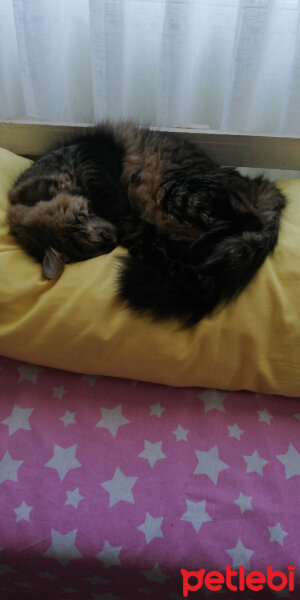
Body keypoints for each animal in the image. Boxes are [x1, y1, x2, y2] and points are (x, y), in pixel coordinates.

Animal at [8, 122, 286, 326]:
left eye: (82, 216)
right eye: (99, 250)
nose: (111, 236)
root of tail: (260, 185)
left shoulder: (91, 157)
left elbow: (111, 195)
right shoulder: (139, 236)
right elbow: (161, 258)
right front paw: (195, 280)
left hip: (176, 192)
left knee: (248, 220)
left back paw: (201, 250)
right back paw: (197, 263)